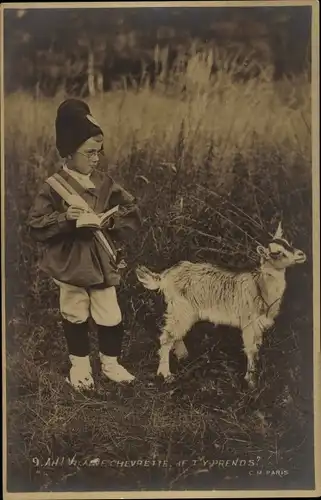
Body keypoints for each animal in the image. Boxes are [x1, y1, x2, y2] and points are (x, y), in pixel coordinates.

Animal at [134, 223, 304, 386]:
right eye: (276, 252)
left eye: (288, 243)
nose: (301, 255)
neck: (261, 285)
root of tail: (165, 276)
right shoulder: (249, 322)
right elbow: (250, 349)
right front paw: (250, 382)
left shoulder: (259, 324)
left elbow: (256, 348)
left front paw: (254, 377)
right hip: (181, 308)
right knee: (167, 337)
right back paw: (166, 374)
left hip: (181, 310)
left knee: (175, 333)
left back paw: (183, 355)